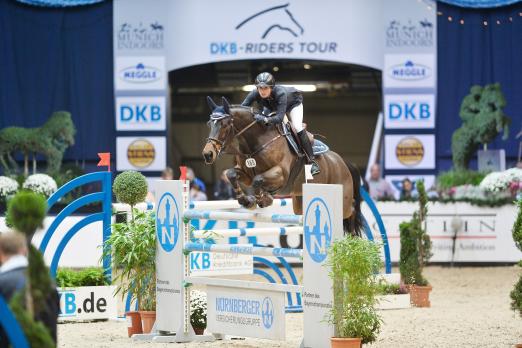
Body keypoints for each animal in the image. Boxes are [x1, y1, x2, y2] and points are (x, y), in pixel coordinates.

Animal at [202, 96, 362, 235]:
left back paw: (353, 237)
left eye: (224, 125)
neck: (257, 141)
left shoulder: (280, 174)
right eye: (209, 124)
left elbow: (258, 180)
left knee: (352, 208)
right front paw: (246, 200)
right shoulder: (246, 174)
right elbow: (232, 174)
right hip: (300, 202)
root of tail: (343, 163)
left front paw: (263, 199)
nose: (208, 154)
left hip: (342, 199)